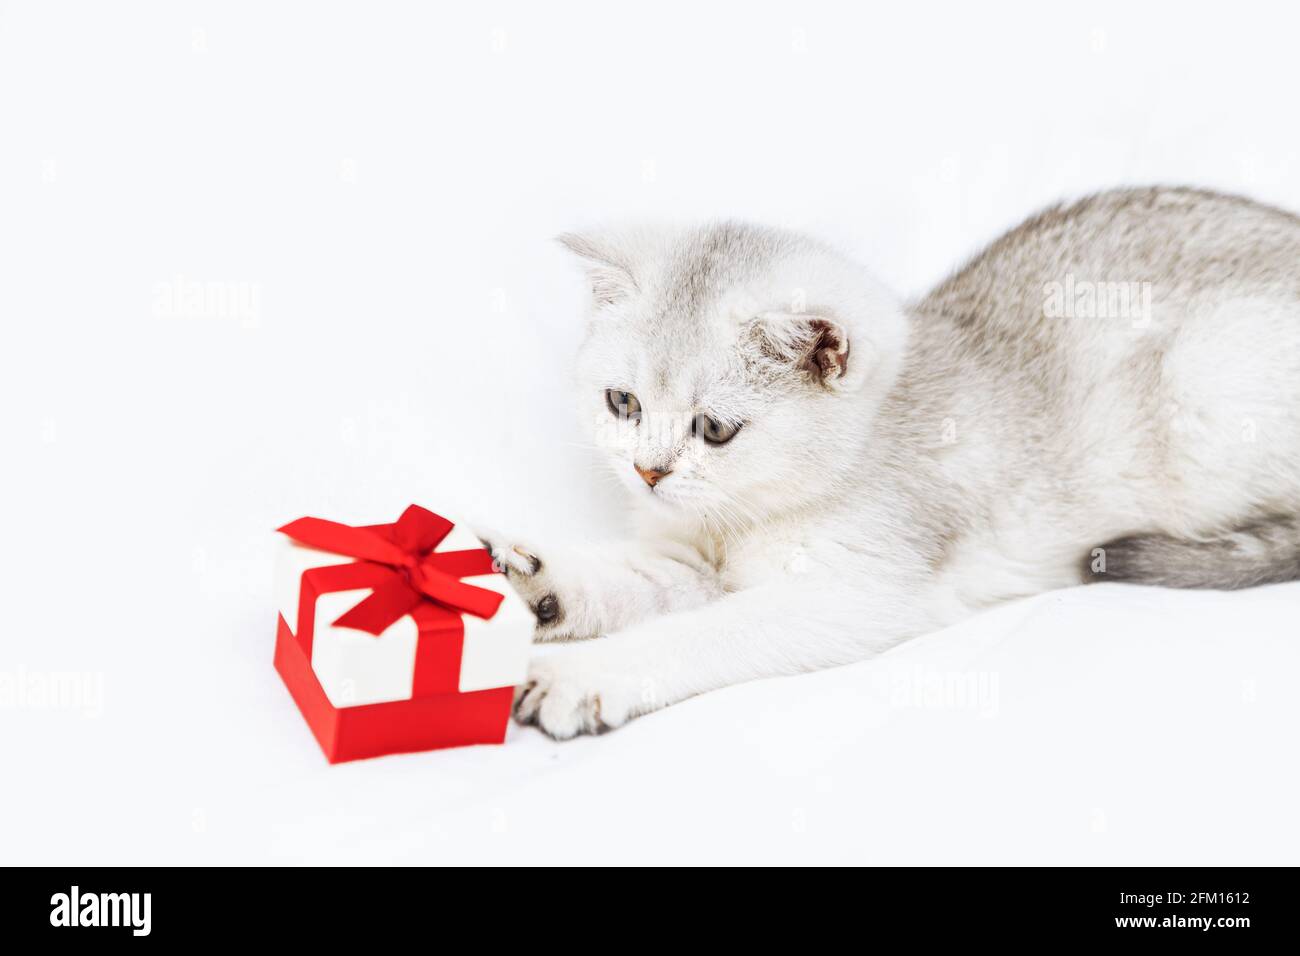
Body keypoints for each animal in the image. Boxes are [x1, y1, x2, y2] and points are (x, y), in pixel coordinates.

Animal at [483, 188, 1300, 738]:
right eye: (623, 403)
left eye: (713, 428)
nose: (648, 473)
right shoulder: (688, 556)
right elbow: (628, 581)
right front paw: (533, 588)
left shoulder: (855, 595)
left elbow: (705, 632)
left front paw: (582, 675)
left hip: (1208, 383)